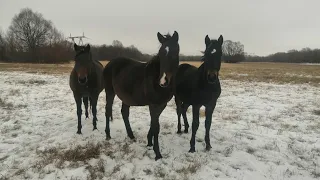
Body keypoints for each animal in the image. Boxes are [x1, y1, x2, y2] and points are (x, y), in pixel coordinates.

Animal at [104, 31, 180, 160]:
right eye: (160, 53)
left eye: (175, 52)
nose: (163, 81)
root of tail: (110, 63)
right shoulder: (153, 105)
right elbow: (156, 127)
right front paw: (157, 153)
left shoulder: (162, 104)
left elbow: (154, 124)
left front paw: (149, 142)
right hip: (110, 92)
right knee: (108, 110)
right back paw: (108, 135)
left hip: (126, 97)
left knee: (124, 113)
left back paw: (131, 135)